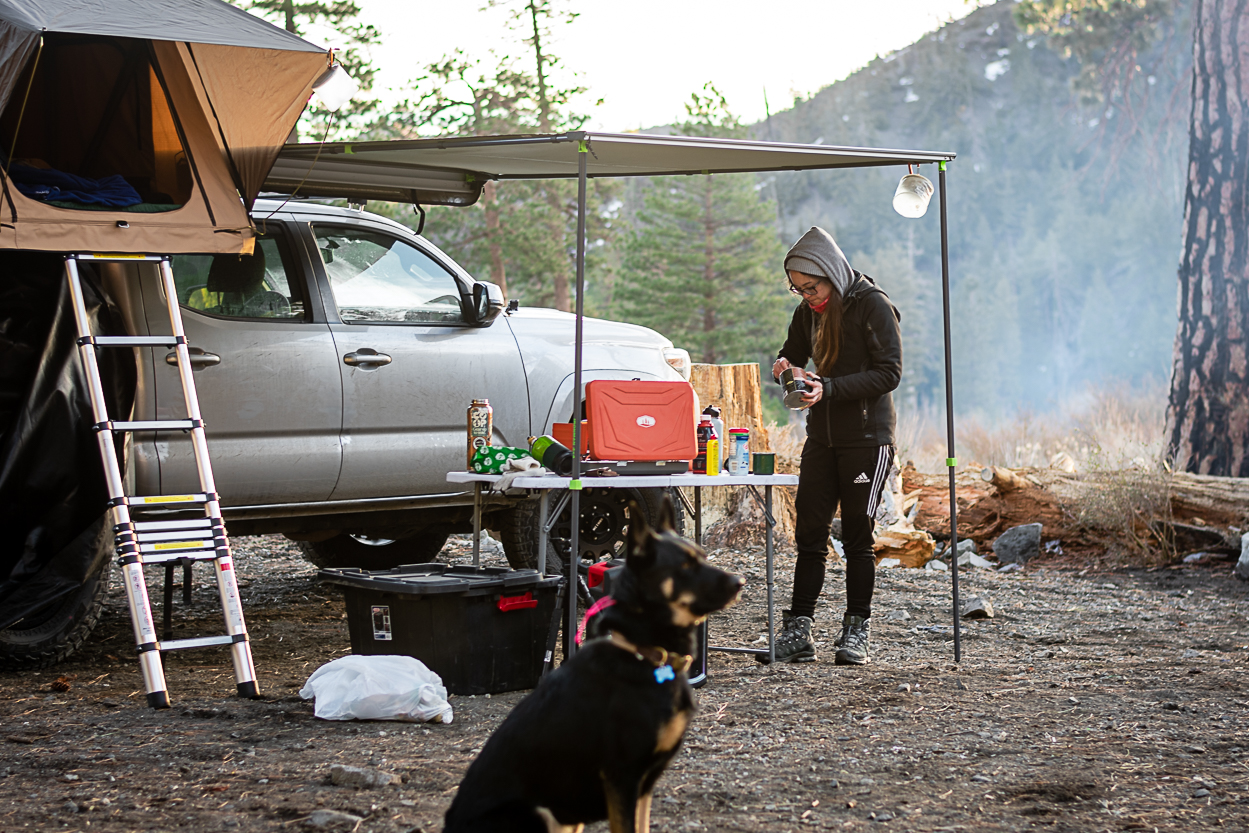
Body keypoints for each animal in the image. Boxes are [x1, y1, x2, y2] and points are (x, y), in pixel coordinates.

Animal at [444, 499, 739, 833]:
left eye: (702, 556)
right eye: (685, 567)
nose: (739, 582)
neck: (644, 654)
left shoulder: (644, 785)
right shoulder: (622, 778)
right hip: (535, 813)